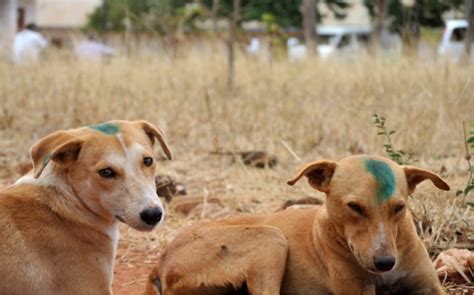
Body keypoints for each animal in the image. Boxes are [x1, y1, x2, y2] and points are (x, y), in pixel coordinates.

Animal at [146, 156, 450, 294]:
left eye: (399, 208)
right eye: (354, 207)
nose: (386, 263)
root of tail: (160, 262)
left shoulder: (430, 287)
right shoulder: (355, 290)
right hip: (271, 239)